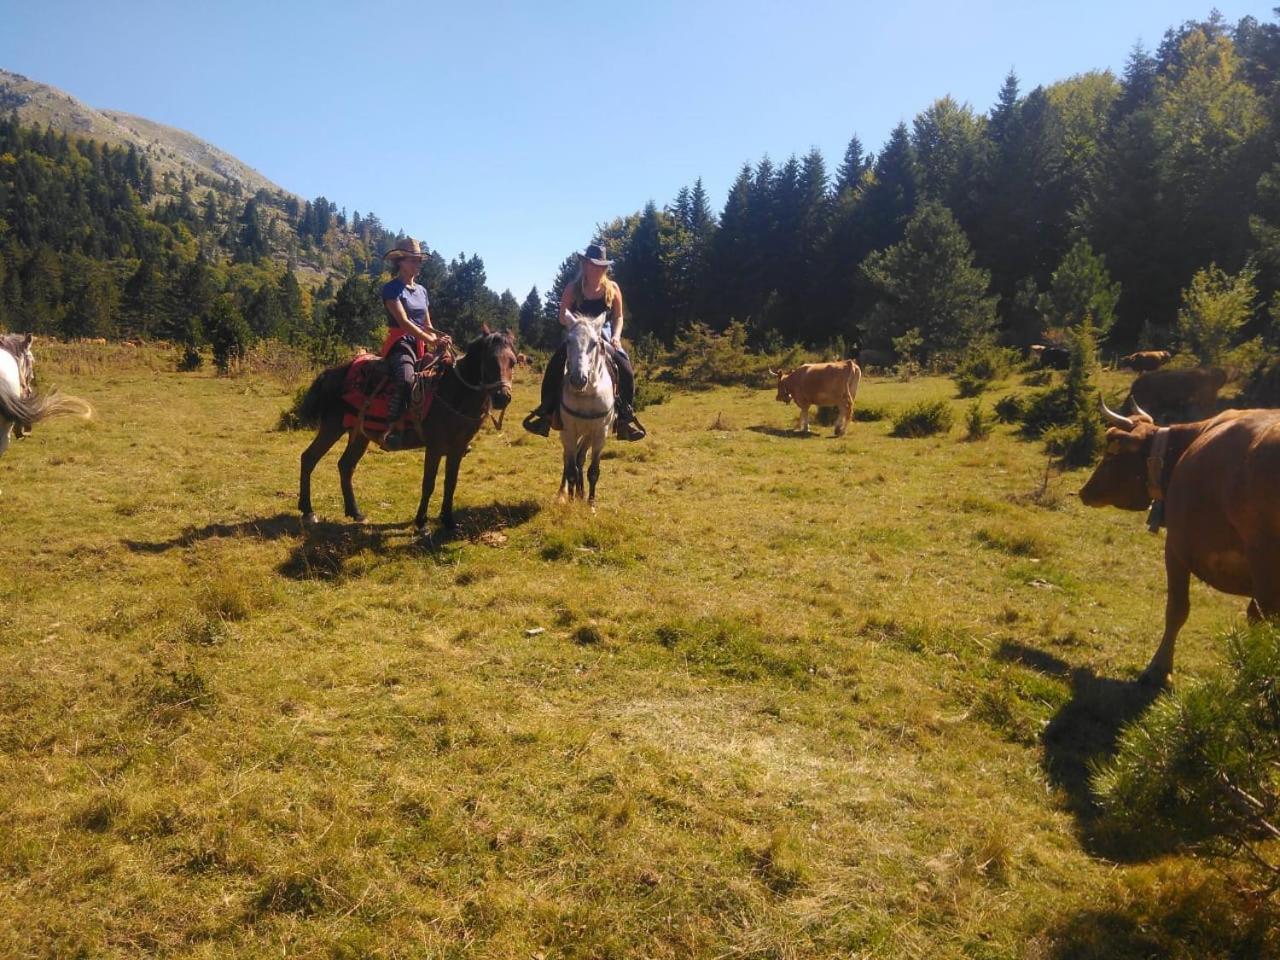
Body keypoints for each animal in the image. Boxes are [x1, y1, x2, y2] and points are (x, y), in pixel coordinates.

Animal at [296, 330, 517, 542]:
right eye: (490, 360)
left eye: (513, 362)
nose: (503, 397)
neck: (455, 394)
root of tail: (332, 373)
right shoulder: (435, 447)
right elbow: (429, 484)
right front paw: (422, 523)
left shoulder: (457, 448)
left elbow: (450, 484)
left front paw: (449, 522)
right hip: (332, 426)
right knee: (309, 458)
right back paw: (308, 511)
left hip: (359, 434)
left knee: (345, 465)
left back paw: (355, 512)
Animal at [555, 316, 614, 512]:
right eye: (568, 341)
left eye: (594, 343)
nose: (578, 380)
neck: (587, 393)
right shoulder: (568, 431)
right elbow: (570, 469)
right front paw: (570, 501)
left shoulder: (600, 432)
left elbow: (593, 471)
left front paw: (591, 504)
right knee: (568, 460)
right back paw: (563, 494)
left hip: (588, 434)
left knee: (580, 457)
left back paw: (581, 493)